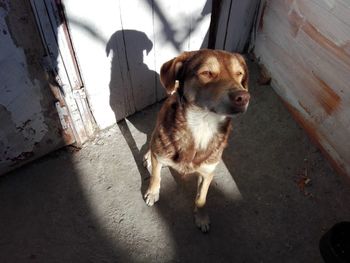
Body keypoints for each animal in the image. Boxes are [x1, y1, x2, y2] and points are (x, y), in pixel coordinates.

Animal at [144, 49, 250, 233]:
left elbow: (201, 198)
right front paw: (153, 193)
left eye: (239, 74)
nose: (243, 97)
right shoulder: (160, 154)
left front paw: (201, 217)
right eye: (206, 73)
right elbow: (156, 177)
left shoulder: (207, 173)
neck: (202, 125)